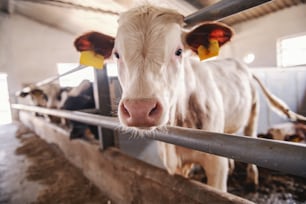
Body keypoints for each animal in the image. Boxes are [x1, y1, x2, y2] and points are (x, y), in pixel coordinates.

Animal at [73, 5, 304, 193]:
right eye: (117, 54)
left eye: (178, 51)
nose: (140, 110)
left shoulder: (215, 165)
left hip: (253, 114)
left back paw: (251, 180)